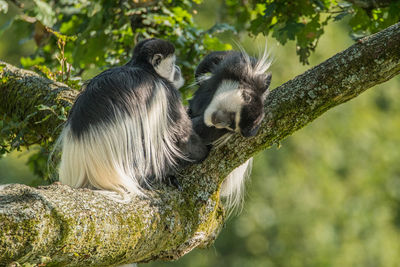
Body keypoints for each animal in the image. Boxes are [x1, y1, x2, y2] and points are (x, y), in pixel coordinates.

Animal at [58, 38, 211, 199]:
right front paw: (204, 150)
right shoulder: (164, 91)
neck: (143, 67)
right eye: (173, 62)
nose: (178, 69)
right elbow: (182, 135)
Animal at [188, 47, 272, 211]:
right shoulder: (241, 70)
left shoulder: (212, 131)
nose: (220, 121)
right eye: (233, 117)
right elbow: (224, 59)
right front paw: (200, 75)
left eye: (231, 127)